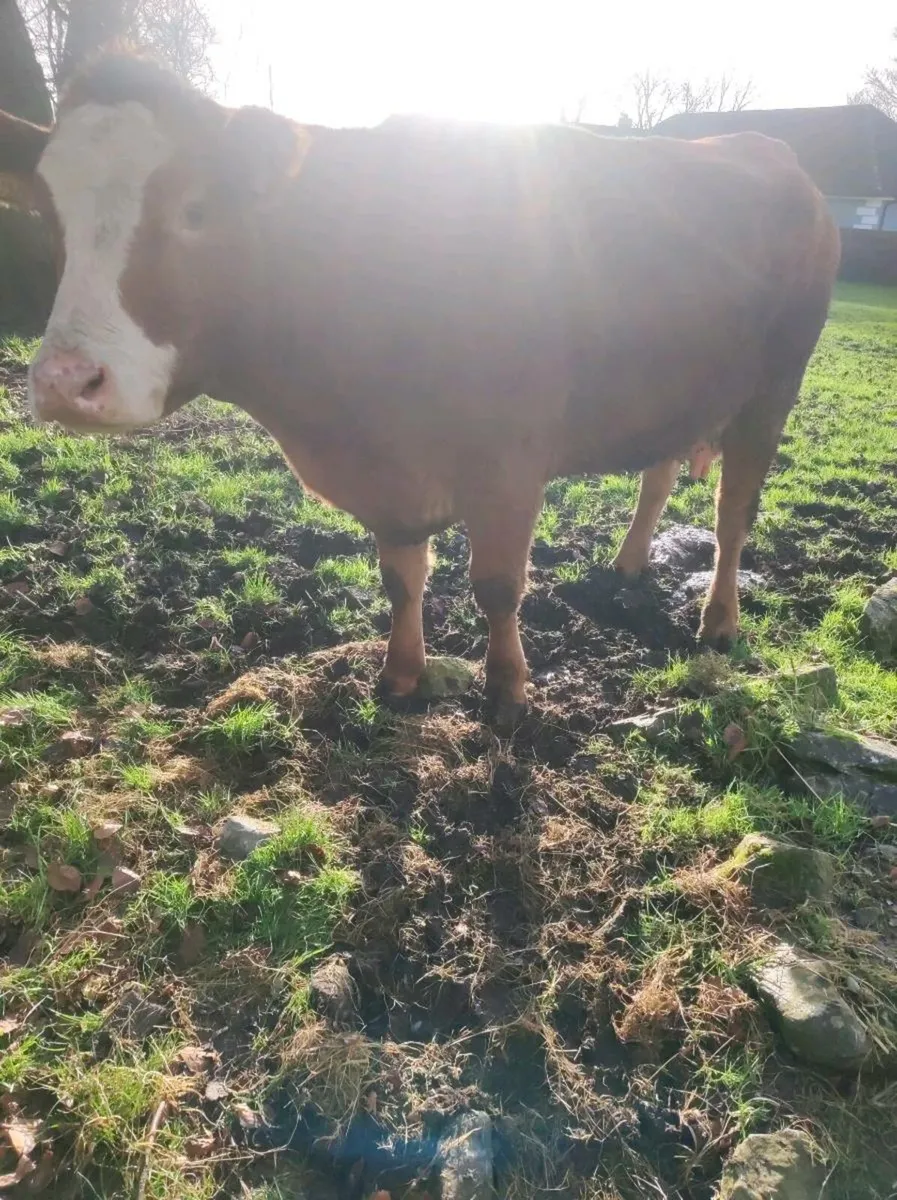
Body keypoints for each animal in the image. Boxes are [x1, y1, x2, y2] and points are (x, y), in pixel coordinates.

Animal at [0, 51, 840, 730]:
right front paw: (399, 675)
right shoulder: (389, 474)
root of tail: (768, 153)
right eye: (47, 214)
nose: (66, 382)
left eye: (196, 207)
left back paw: (719, 621)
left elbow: (497, 586)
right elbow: (401, 581)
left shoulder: (508, 467)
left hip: (773, 388)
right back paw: (629, 562)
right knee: (659, 470)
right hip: (680, 387)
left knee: (733, 517)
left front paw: (505, 692)